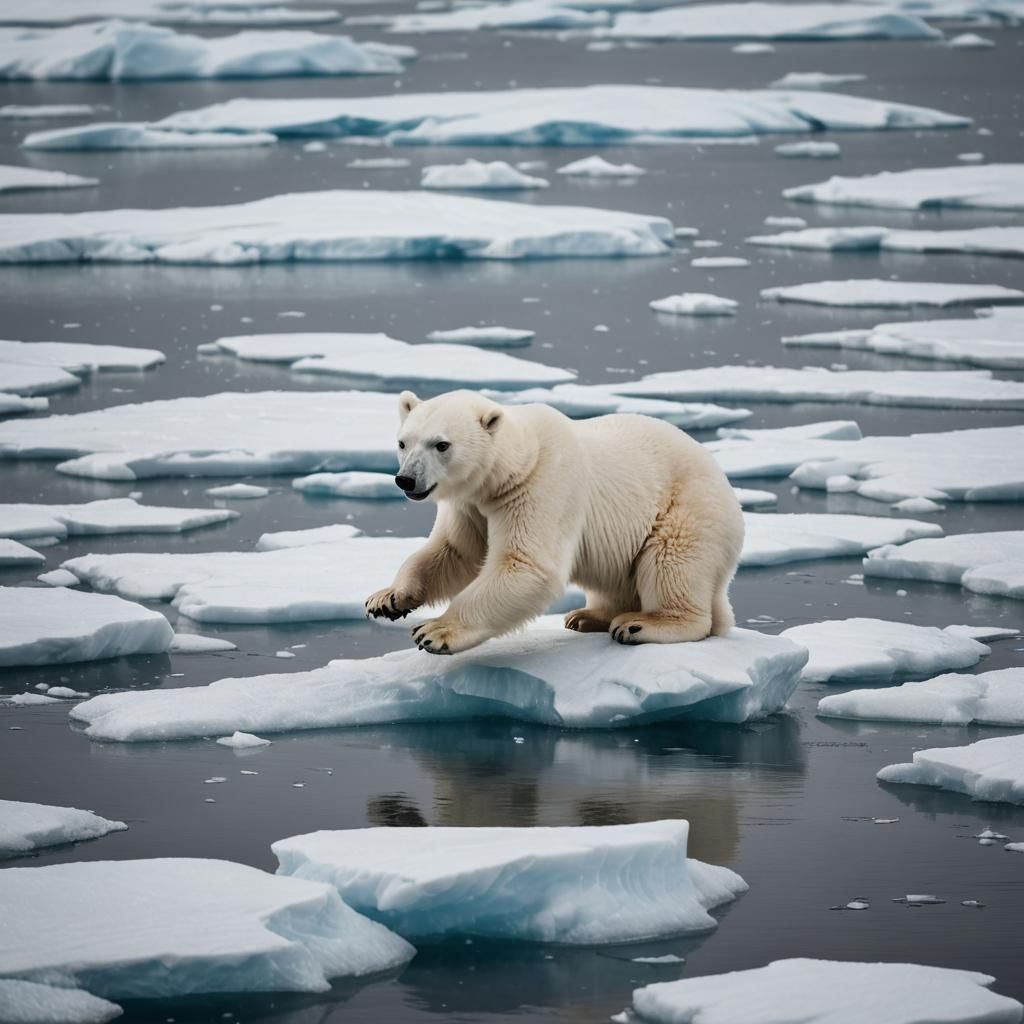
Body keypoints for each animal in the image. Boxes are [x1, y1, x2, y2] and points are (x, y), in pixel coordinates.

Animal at [365, 389, 744, 655]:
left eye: (442, 445)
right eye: (403, 442)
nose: (406, 480)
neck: (515, 463)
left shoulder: (541, 487)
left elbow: (526, 565)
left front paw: (434, 631)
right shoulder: (470, 504)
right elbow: (455, 552)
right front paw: (387, 599)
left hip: (688, 507)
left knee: (672, 560)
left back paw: (639, 624)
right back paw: (588, 616)